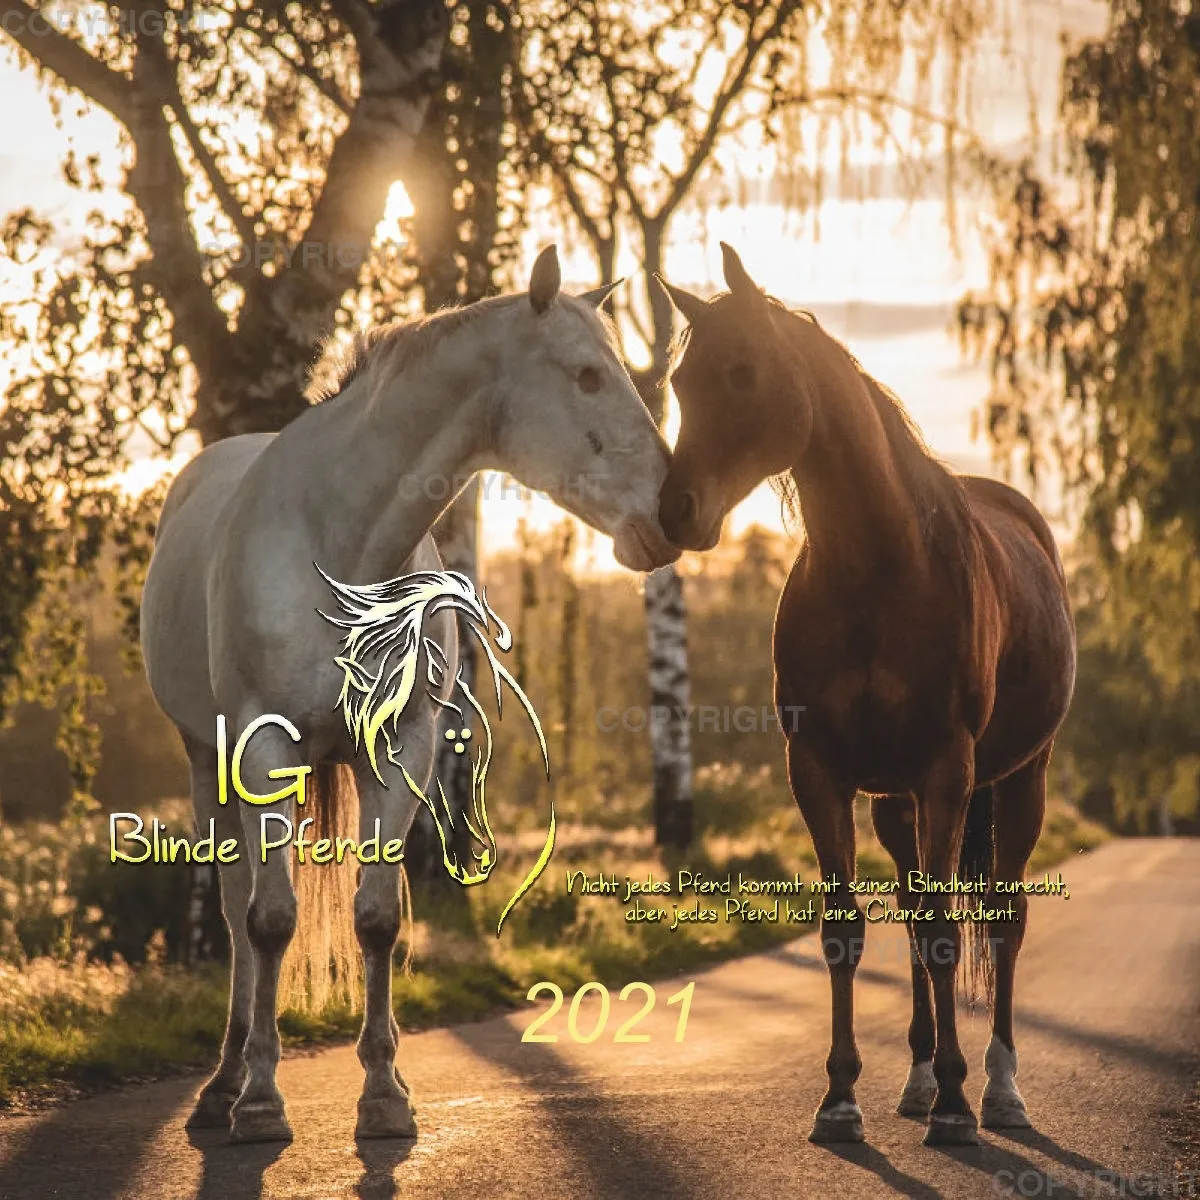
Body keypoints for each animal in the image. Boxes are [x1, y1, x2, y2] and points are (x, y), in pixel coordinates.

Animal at [140, 245, 679, 1144]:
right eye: (587, 375)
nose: (677, 513)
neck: (336, 543)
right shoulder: (262, 745)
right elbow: (270, 921)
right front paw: (262, 1101)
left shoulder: (403, 750)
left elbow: (377, 918)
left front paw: (385, 1096)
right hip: (204, 760)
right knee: (236, 906)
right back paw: (223, 1085)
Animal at [655, 244, 1076, 1146]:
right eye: (679, 382)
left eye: (741, 372)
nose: (676, 512)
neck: (881, 567)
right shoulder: (820, 771)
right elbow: (848, 930)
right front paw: (841, 1099)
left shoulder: (948, 771)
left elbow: (949, 933)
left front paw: (956, 1107)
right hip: (894, 804)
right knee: (914, 910)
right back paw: (917, 1079)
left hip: (1019, 780)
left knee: (1002, 921)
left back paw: (998, 1087)